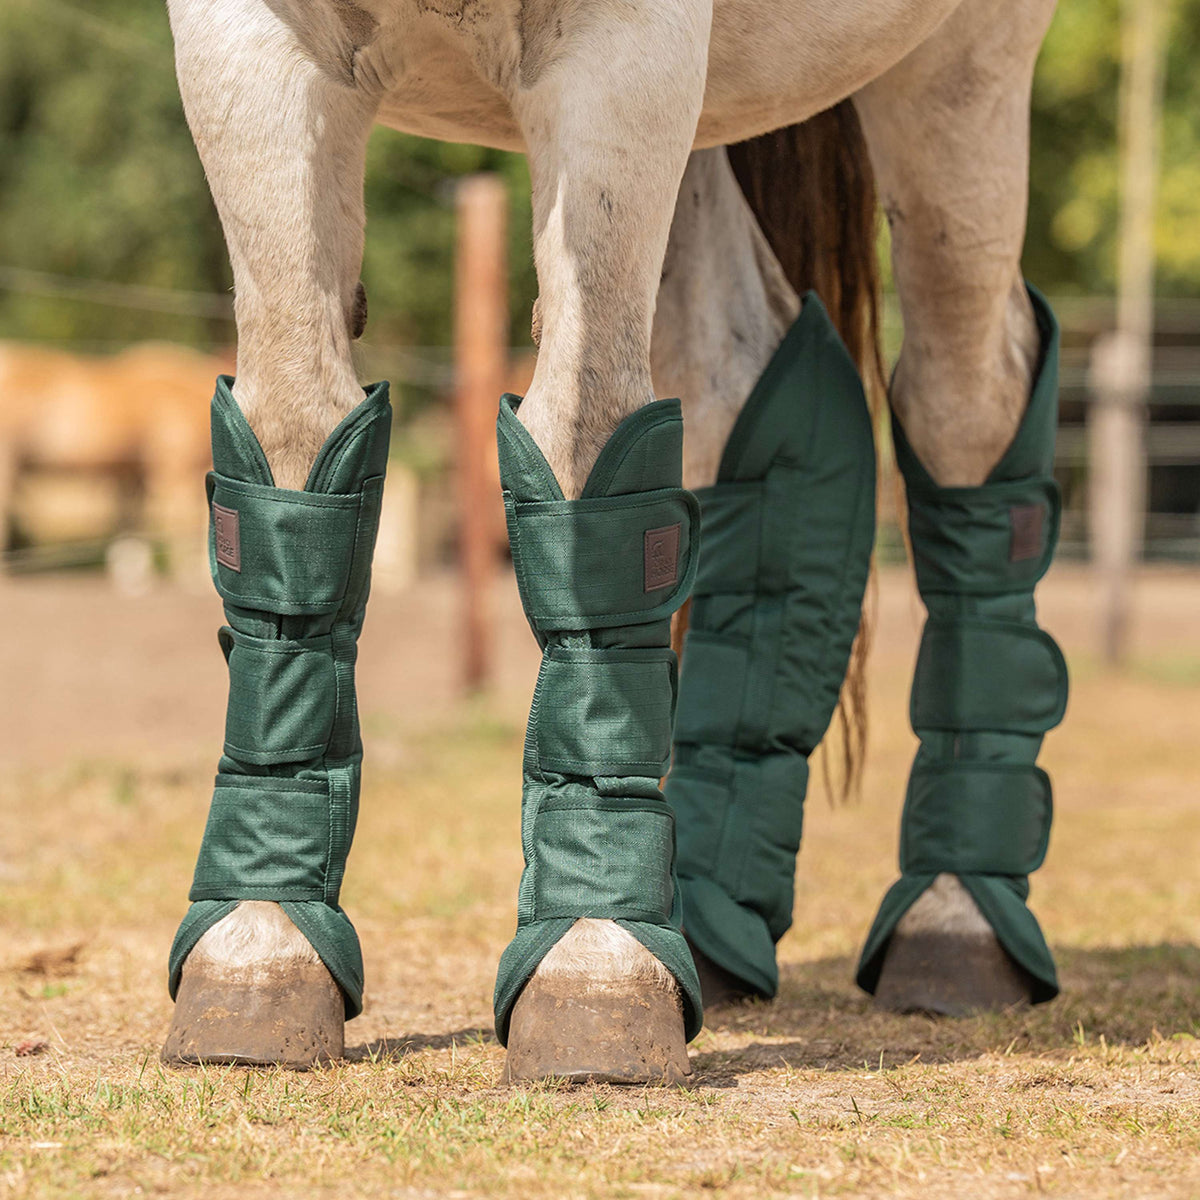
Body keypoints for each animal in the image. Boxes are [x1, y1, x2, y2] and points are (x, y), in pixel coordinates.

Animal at [160, 0, 1066, 1084]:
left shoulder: (622, 50)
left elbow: (581, 431)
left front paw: (597, 963)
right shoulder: (246, 40)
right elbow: (298, 425)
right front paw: (260, 943)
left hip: (961, 66)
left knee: (965, 397)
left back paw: (956, 918)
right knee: (735, 374)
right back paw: (707, 928)